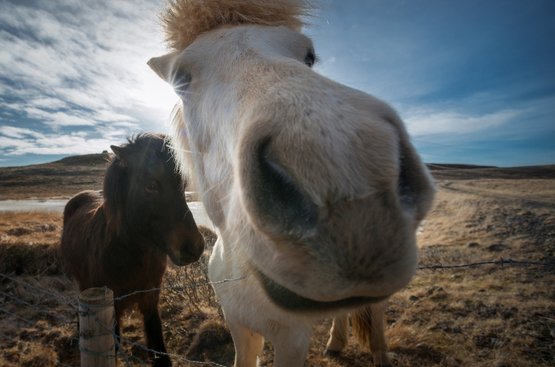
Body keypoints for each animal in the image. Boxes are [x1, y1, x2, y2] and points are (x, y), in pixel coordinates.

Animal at [61, 134, 204, 366]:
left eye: (183, 184)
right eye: (151, 185)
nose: (194, 247)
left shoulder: (150, 299)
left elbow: (158, 346)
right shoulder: (113, 306)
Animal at [148, 1, 434, 366]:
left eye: (309, 56)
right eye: (180, 80)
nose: (343, 172)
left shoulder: (291, 340)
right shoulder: (239, 326)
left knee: (377, 323)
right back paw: (335, 343)